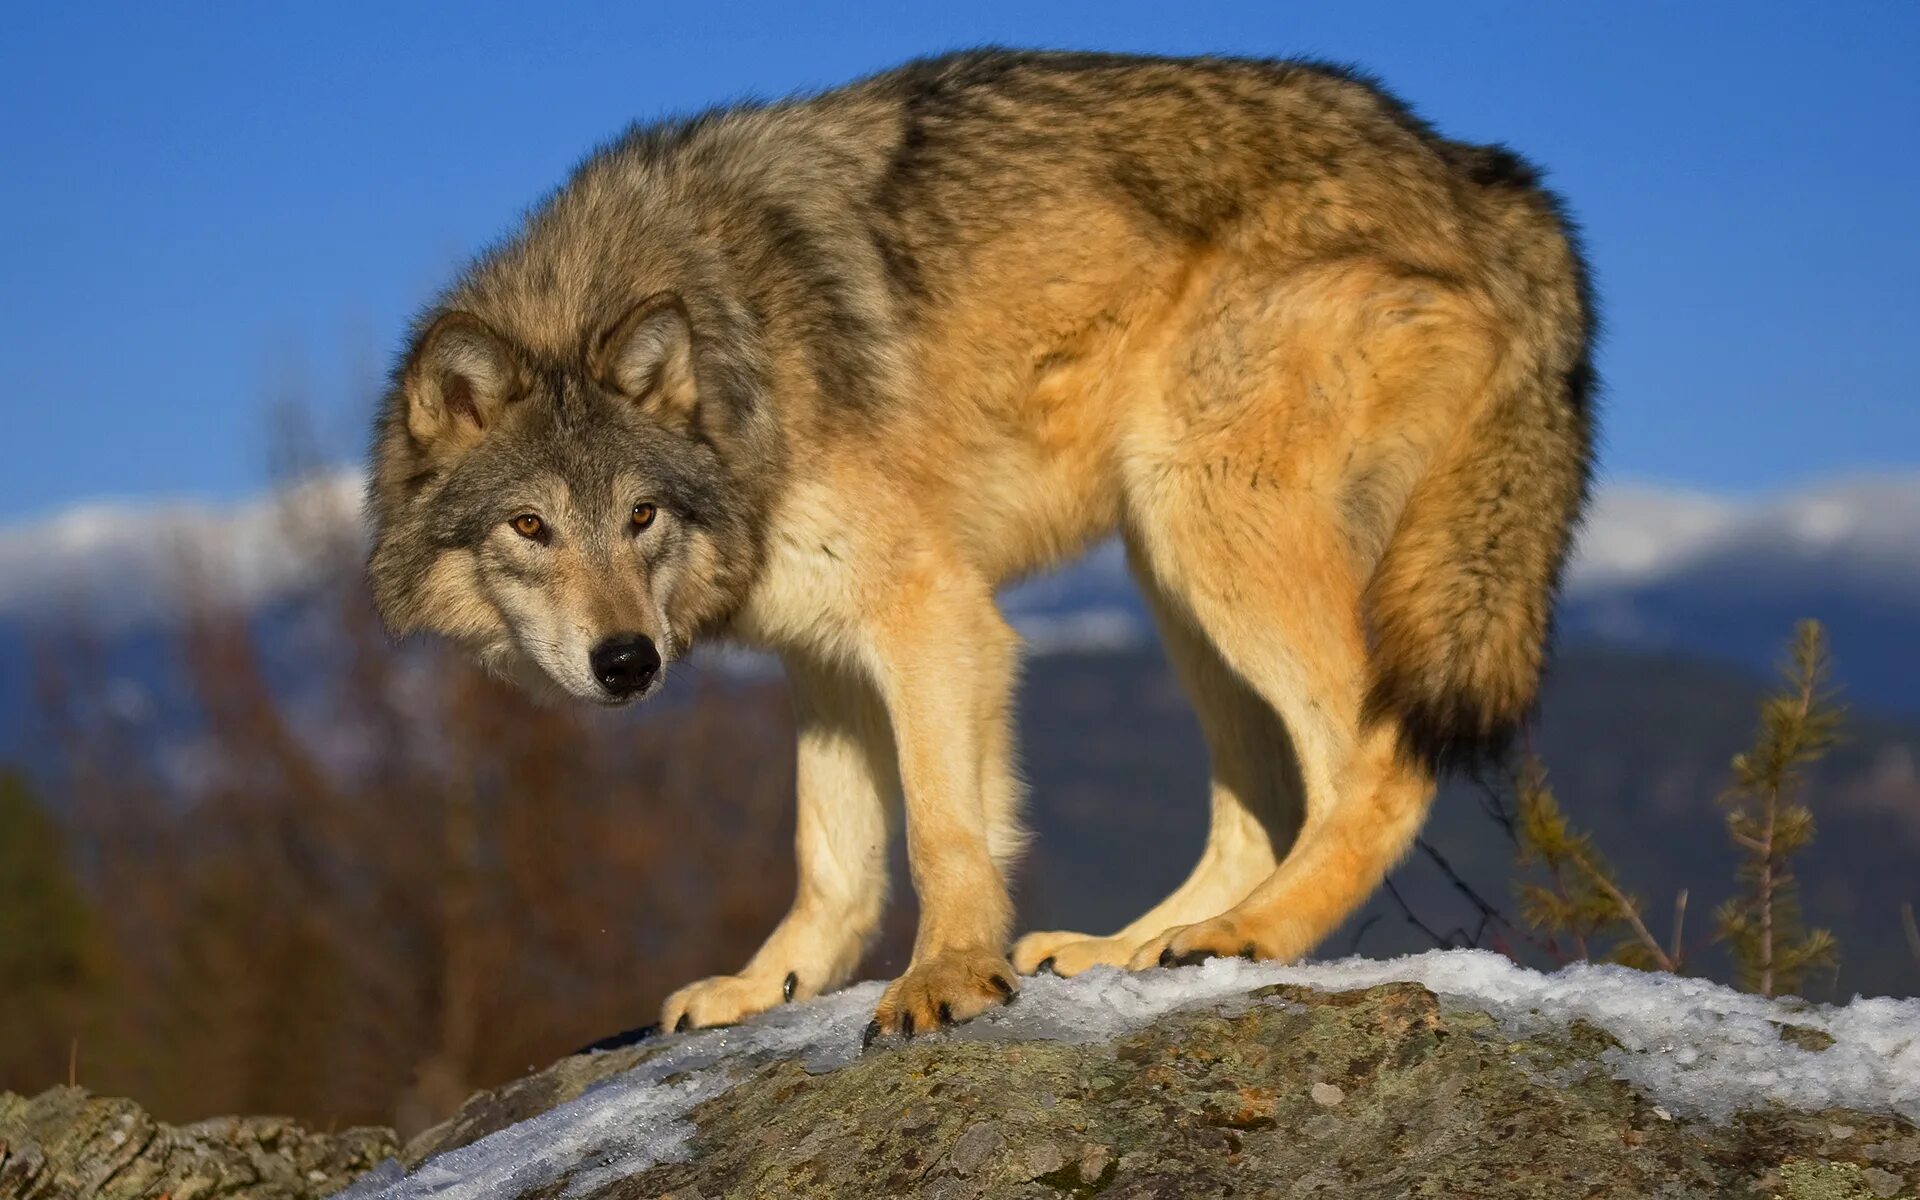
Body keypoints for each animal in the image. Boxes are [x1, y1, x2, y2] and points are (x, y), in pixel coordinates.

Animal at [366, 49, 1597, 1036]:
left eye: (640, 517)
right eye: (531, 525)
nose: (628, 662)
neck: (740, 349)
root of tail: (1480, 172)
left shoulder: (932, 612)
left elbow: (941, 830)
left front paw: (949, 976)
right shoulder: (822, 653)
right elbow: (832, 860)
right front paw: (768, 989)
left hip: (1208, 520)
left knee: (1371, 762)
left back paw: (1254, 933)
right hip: (1170, 566)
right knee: (1265, 805)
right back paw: (1132, 949)